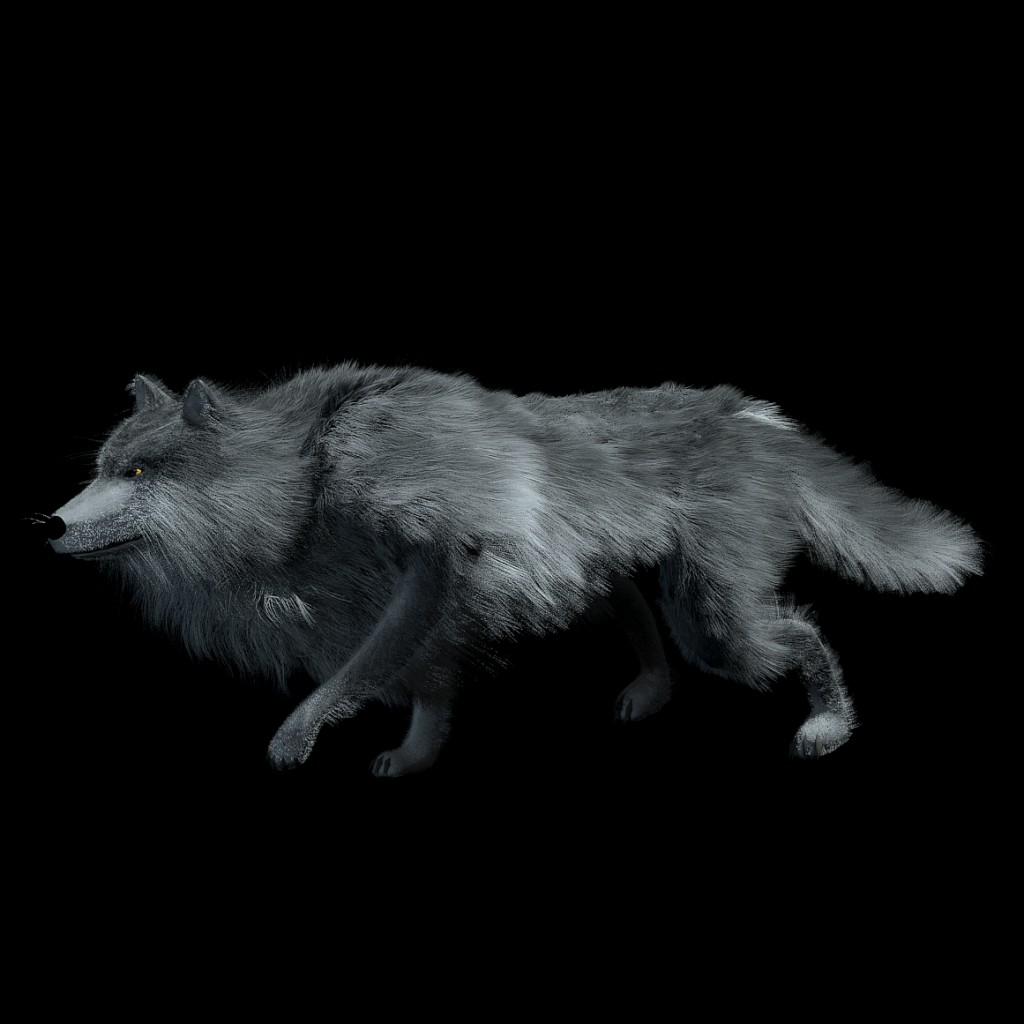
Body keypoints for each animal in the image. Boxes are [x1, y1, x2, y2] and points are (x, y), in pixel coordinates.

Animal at [42, 364, 982, 776]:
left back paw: (828, 725)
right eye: (102, 467)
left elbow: (361, 674)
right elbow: (420, 681)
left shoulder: (426, 555)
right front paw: (416, 751)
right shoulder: (410, 594)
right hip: (581, 572)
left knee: (800, 633)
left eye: (139, 473)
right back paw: (649, 689)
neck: (306, 475)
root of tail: (747, 412)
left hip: (717, 622)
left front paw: (300, 732)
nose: (48, 524)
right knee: (632, 608)